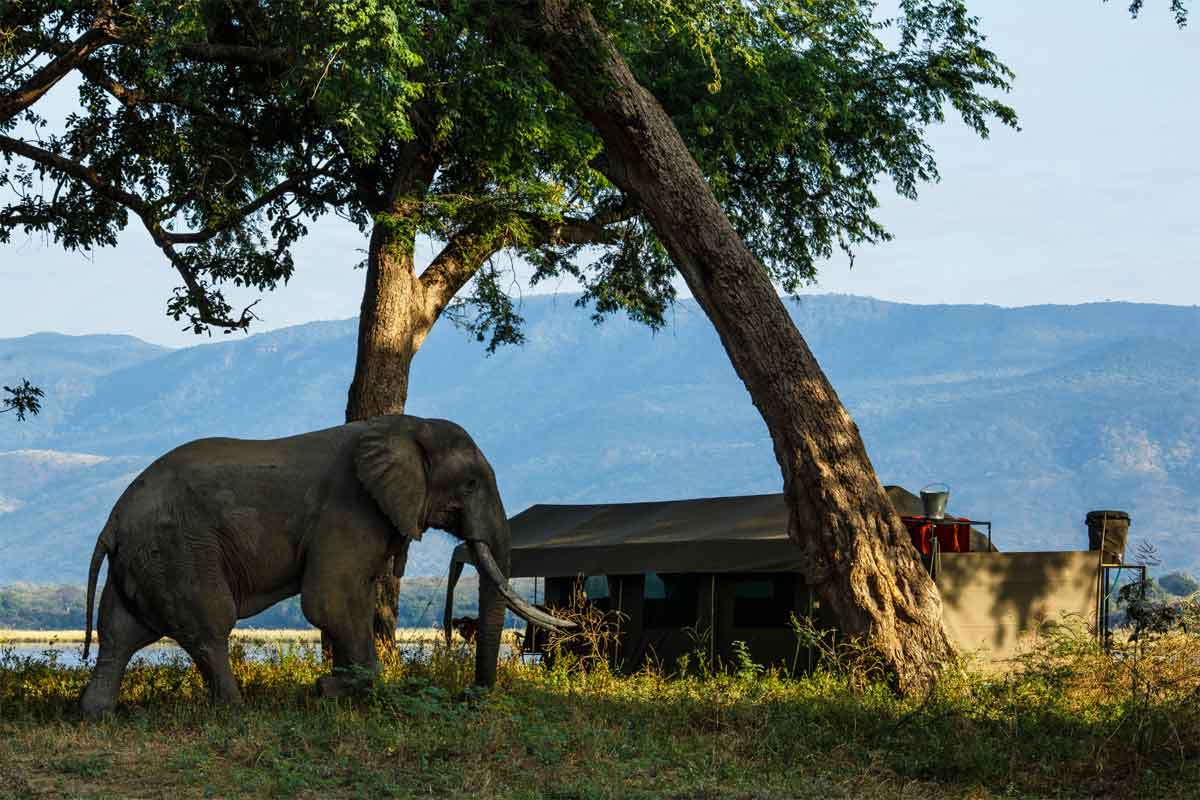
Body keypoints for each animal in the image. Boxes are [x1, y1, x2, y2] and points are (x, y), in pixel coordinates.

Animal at [78, 417, 566, 714]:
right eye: (469, 484)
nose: (471, 693)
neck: (404, 426)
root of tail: (113, 521)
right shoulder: (350, 508)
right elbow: (328, 600)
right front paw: (333, 689)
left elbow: (353, 601)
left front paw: (337, 687)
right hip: (179, 549)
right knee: (209, 625)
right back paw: (235, 709)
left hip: (146, 558)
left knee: (120, 633)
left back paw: (96, 713)